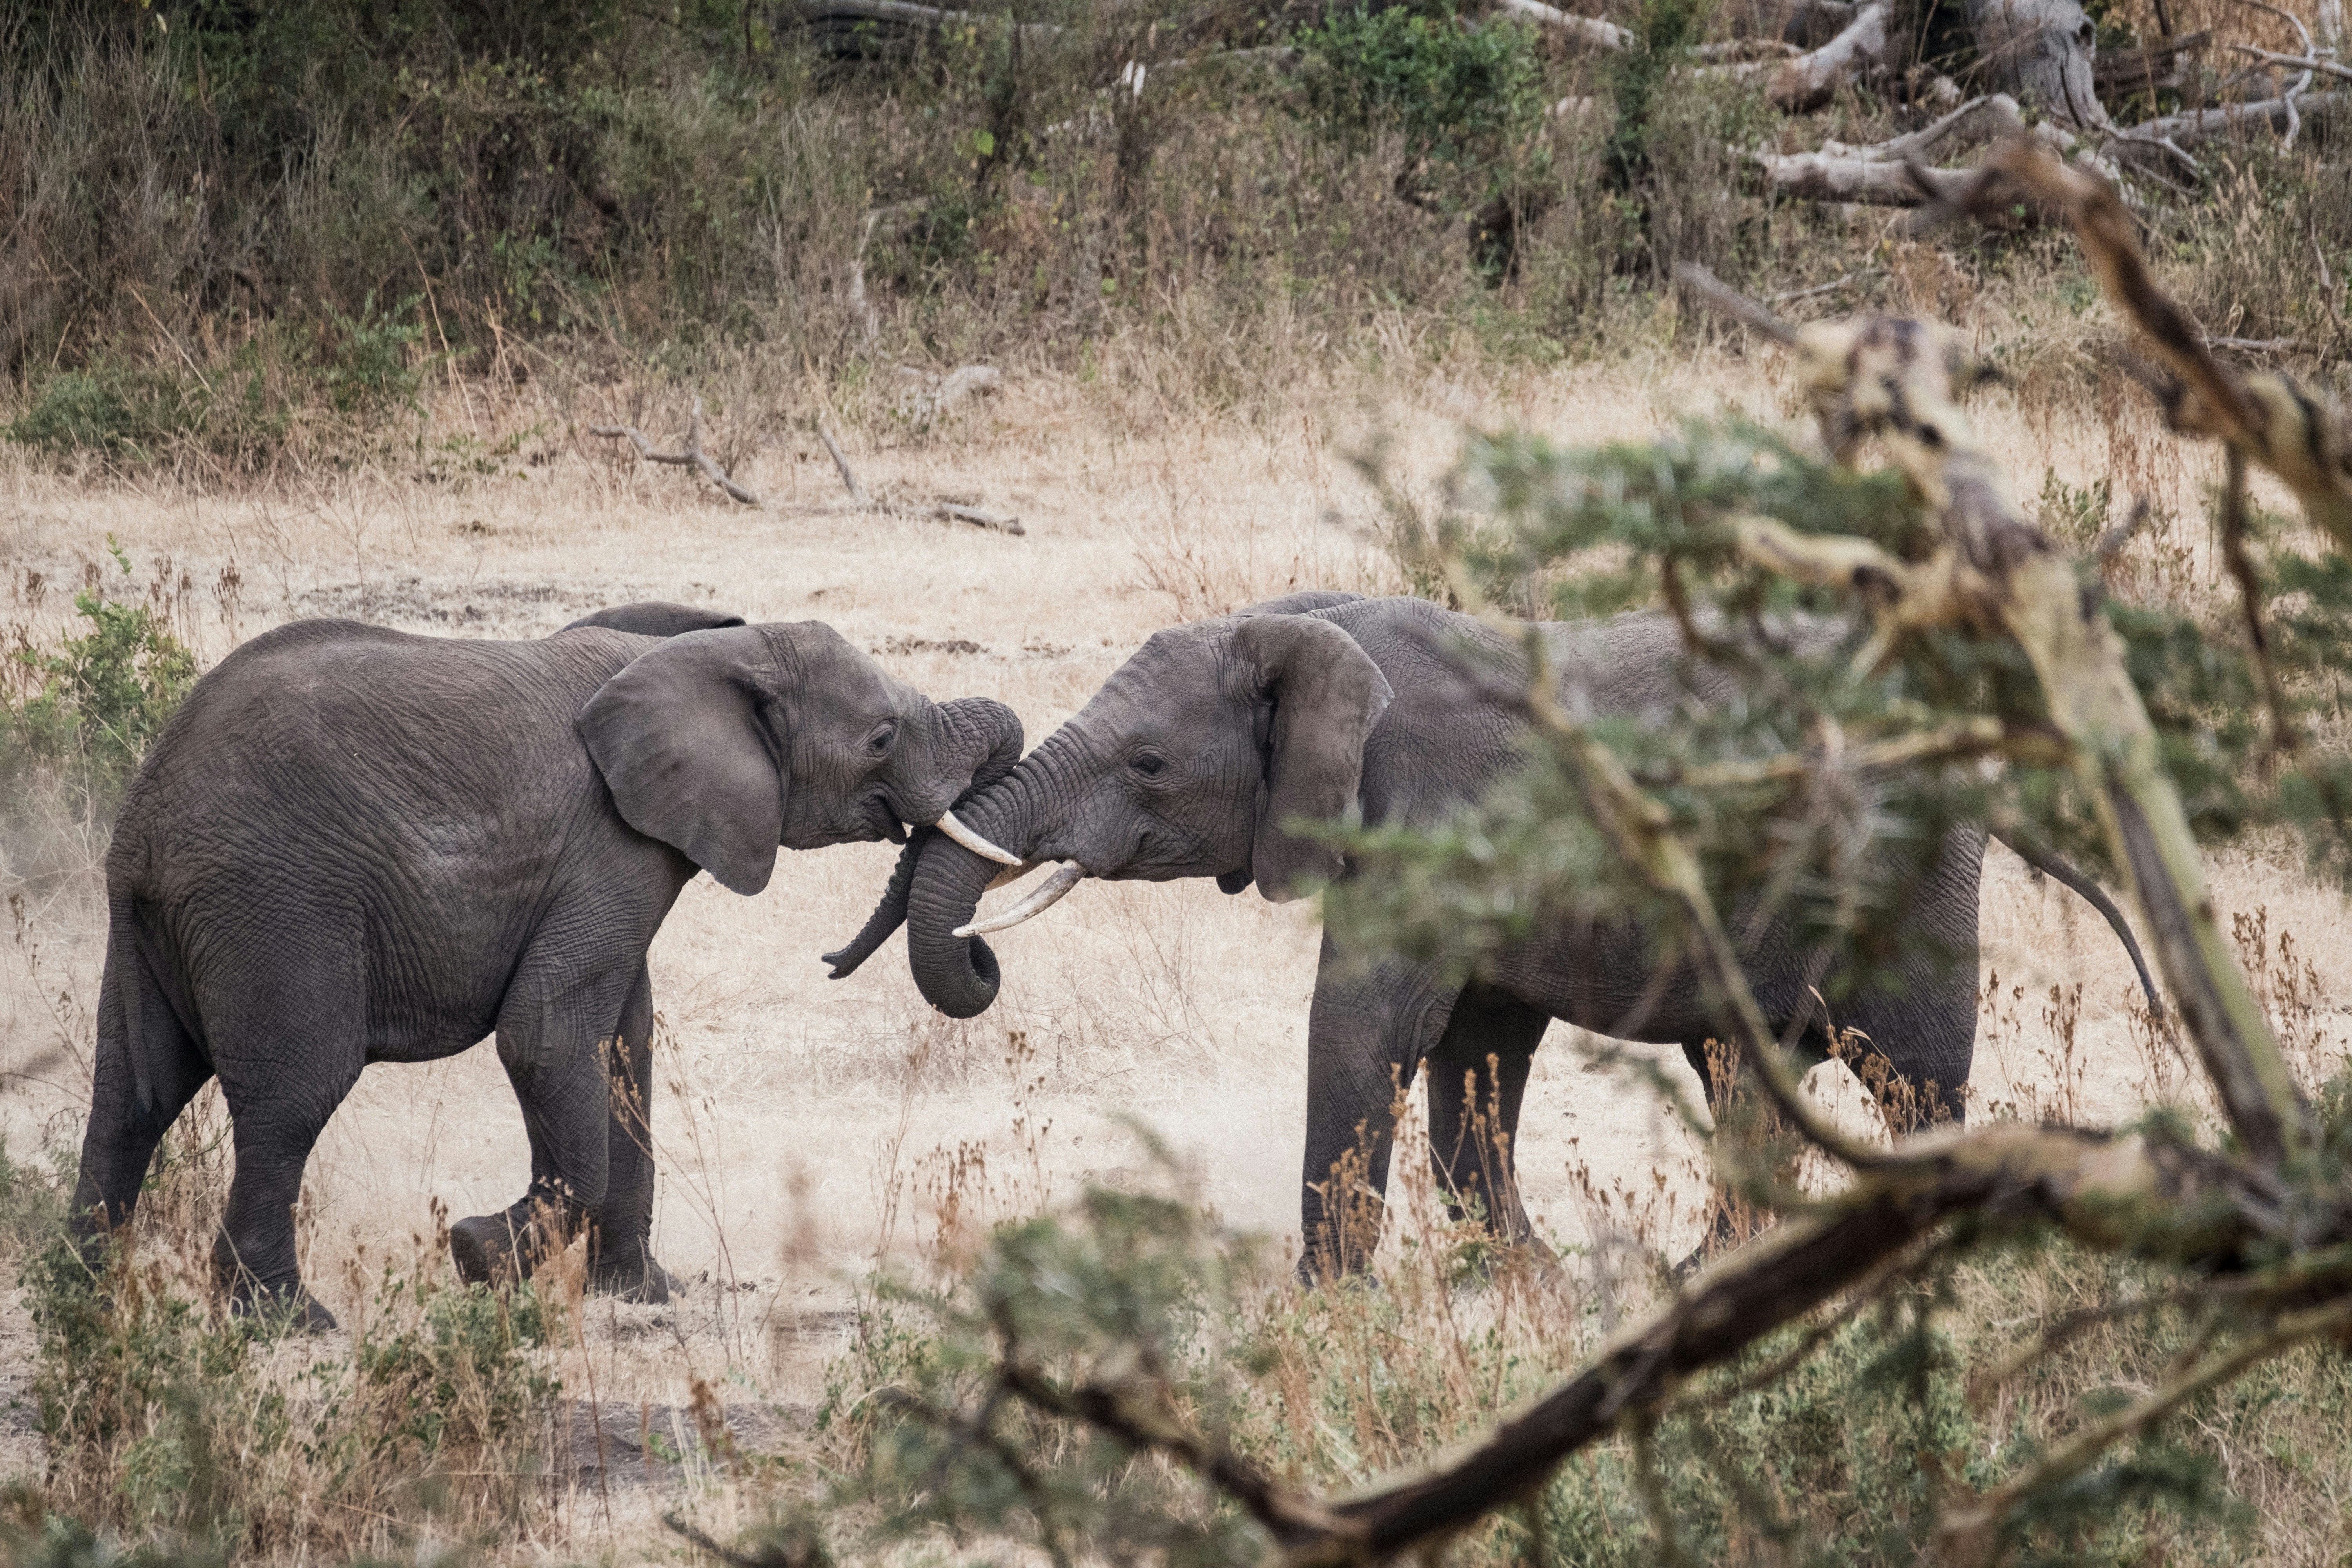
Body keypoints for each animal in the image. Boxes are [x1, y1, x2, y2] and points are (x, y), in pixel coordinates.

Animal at [70, 609, 1022, 1328]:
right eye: (882, 736)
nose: (981, 953)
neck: (713, 652)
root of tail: (150, 808)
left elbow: (624, 1048)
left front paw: (640, 1294)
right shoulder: (608, 845)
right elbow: (548, 1036)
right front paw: (476, 1253)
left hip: (150, 916)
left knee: (132, 1095)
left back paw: (77, 1293)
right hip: (274, 903)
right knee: (293, 1093)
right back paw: (286, 1320)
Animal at [831, 591, 2156, 1276]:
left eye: (1148, 763)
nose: (982, 955)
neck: (1312, 629)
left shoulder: (1430, 819)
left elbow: (1372, 1027)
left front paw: (1327, 1305)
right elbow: (1475, 1045)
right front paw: (1521, 1280)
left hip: (1908, 873)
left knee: (1911, 1072)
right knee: (1746, 1069)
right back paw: (1707, 1276)